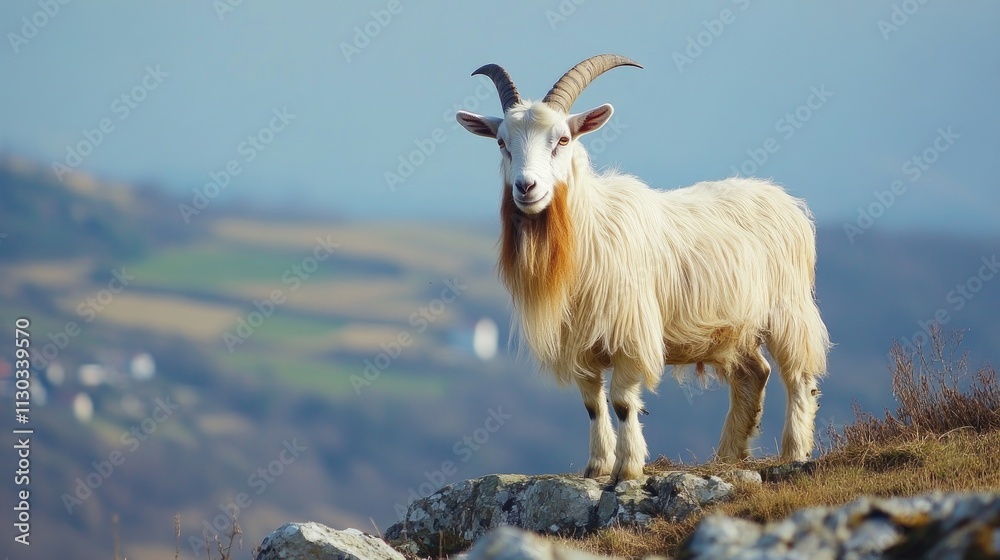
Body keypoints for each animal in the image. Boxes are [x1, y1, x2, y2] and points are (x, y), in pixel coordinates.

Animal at [456, 54, 830, 483]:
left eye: (563, 140)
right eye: (502, 142)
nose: (526, 187)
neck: (591, 229)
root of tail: (785, 200)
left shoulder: (630, 334)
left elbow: (621, 401)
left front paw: (628, 468)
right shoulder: (580, 343)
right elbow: (593, 404)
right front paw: (597, 467)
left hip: (789, 309)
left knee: (799, 377)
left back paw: (794, 452)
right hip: (736, 328)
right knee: (753, 374)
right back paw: (728, 456)